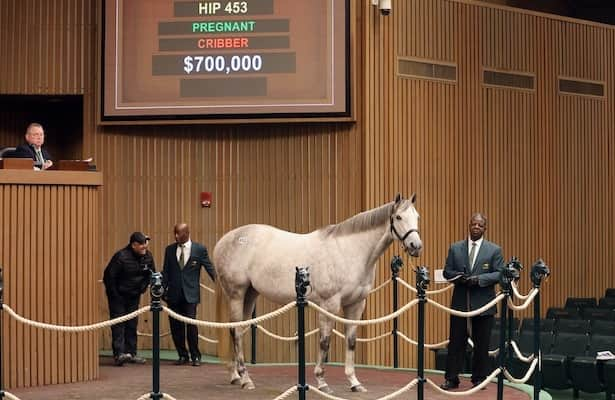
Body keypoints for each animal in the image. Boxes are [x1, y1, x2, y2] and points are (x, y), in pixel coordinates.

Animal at [213, 193, 424, 390]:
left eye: (417, 217)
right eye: (398, 217)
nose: (416, 246)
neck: (350, 251)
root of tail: (225, 240)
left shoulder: (356, 305)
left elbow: (351, 341)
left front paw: (354, 382)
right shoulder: (329, 304)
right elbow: (325, 341)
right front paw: (322, 382)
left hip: (250, 294)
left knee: (238, 330)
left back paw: (236, 376)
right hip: (236, 294)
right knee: (236, 331)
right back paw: (245, 379)